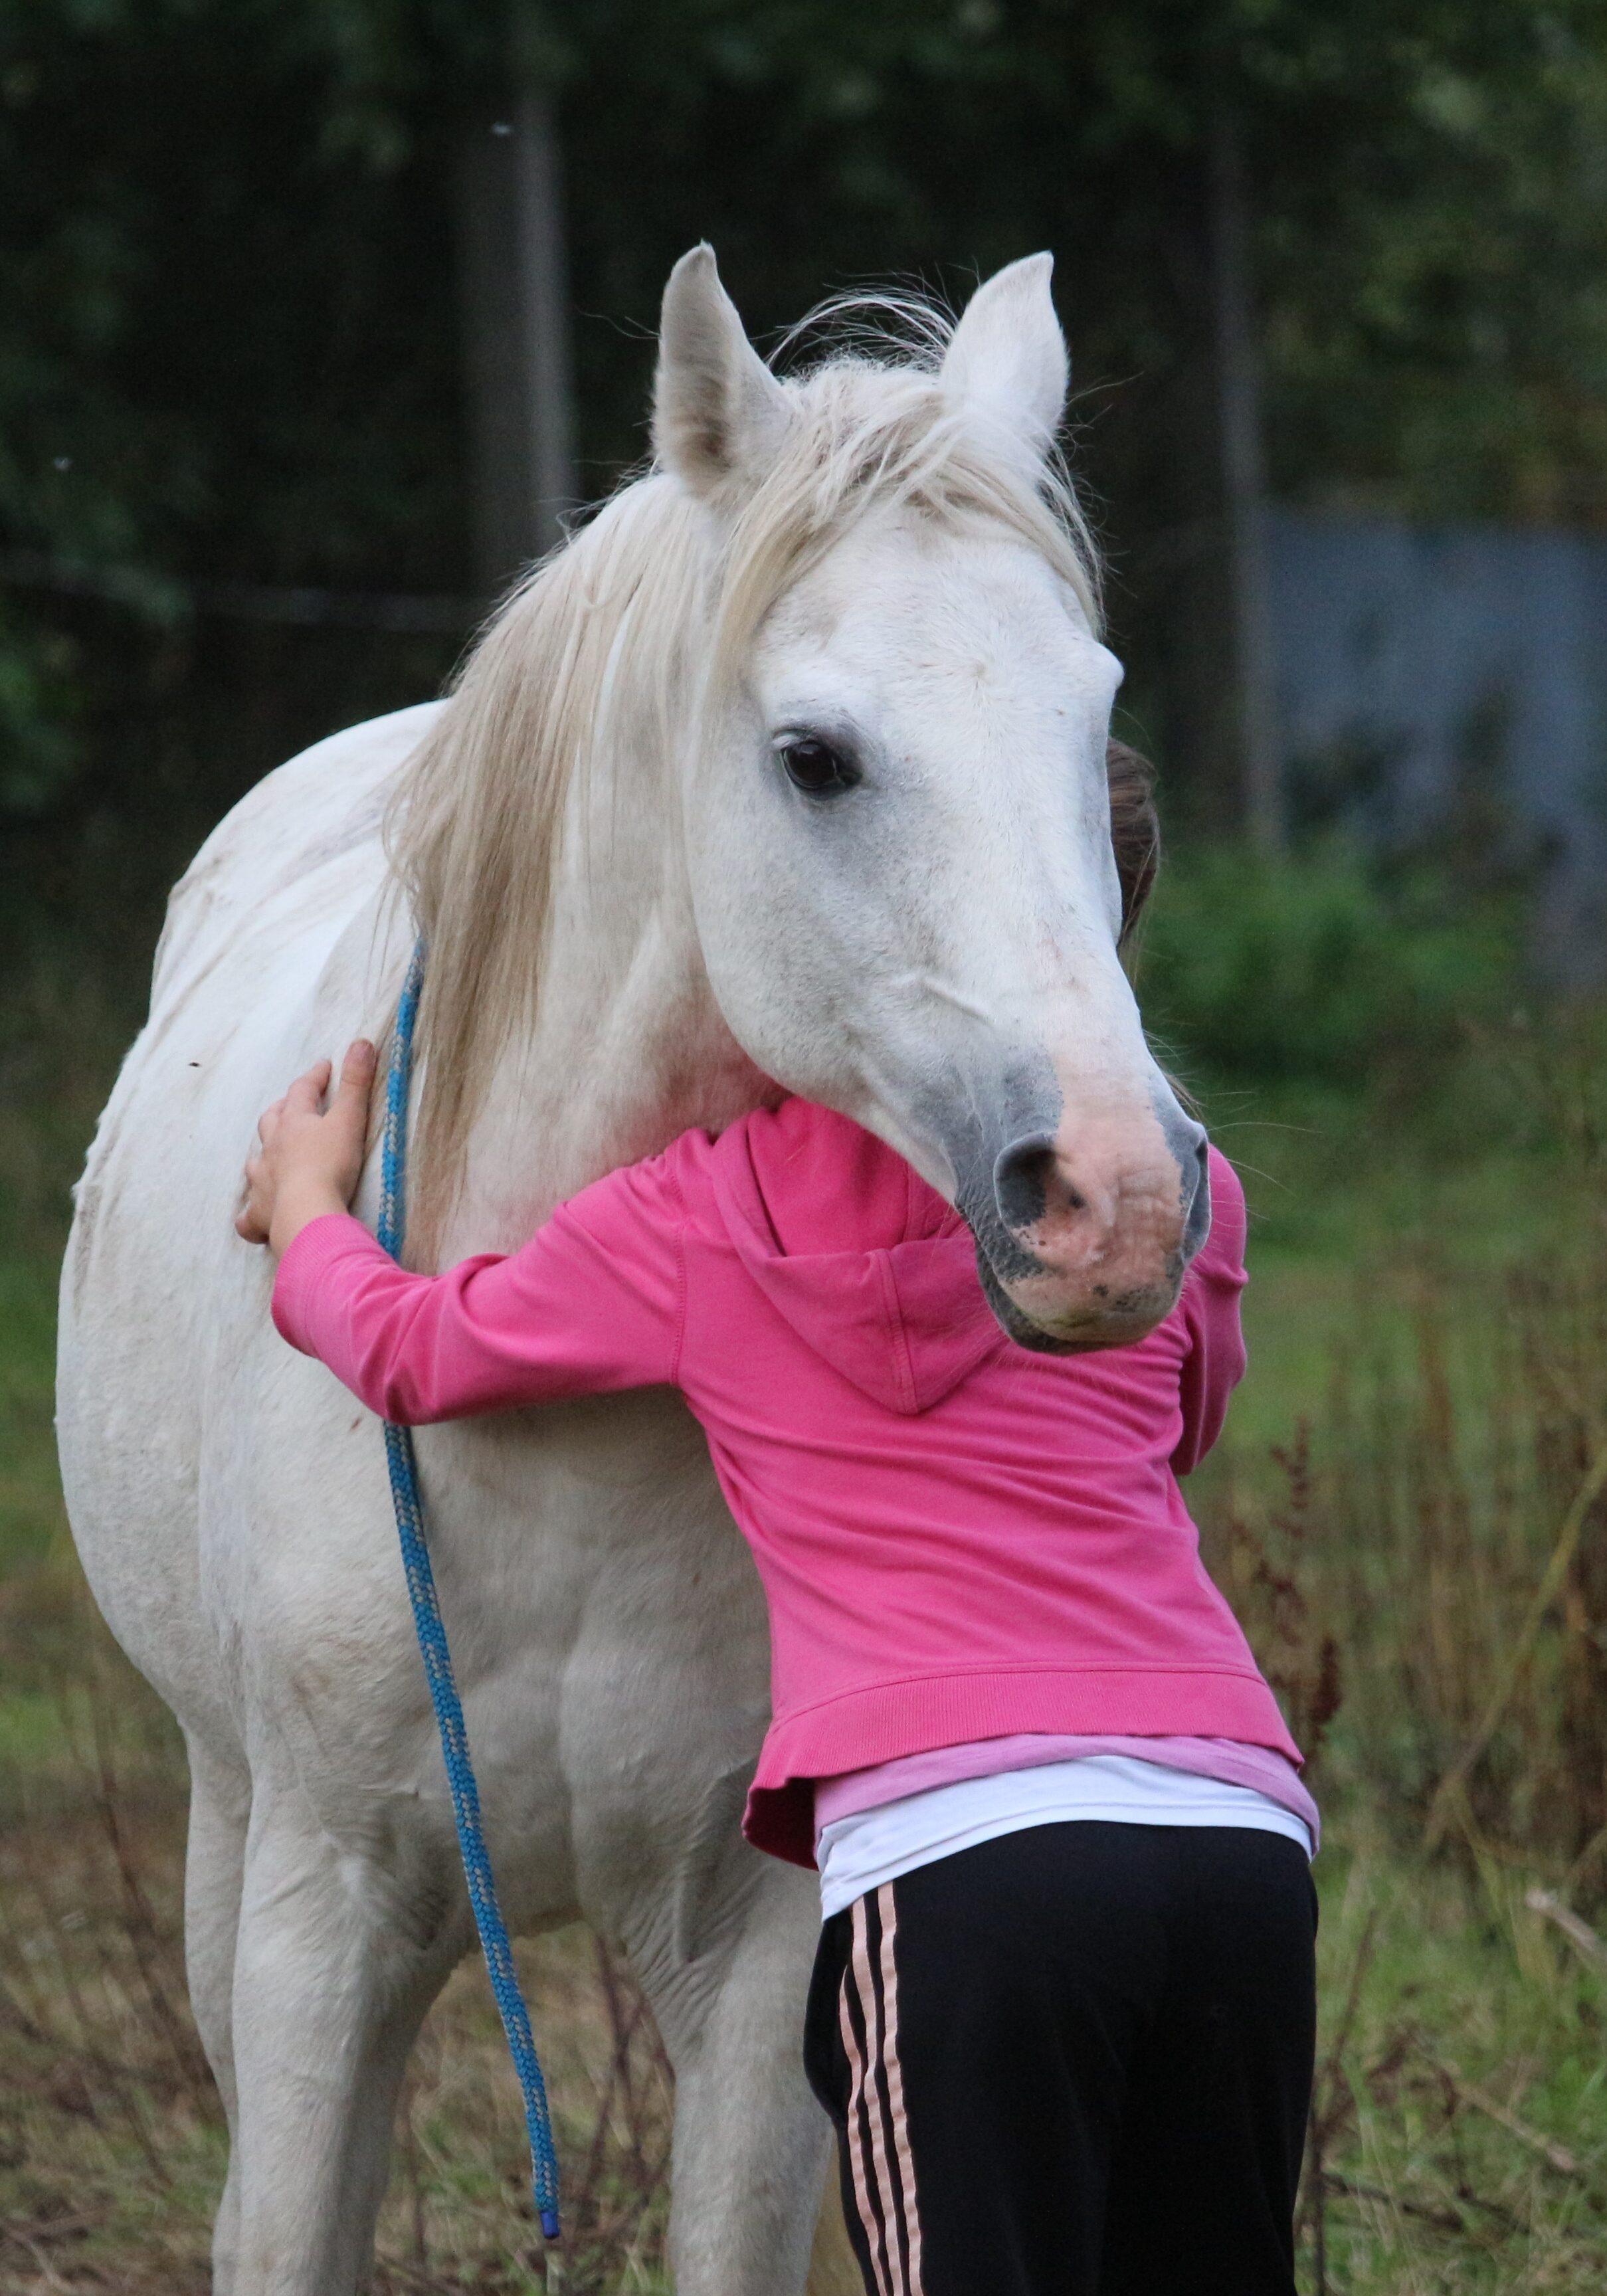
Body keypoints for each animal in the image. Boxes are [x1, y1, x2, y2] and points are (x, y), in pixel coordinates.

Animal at [56, 251, 1212, 2296]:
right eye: (813, 758)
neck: (548, 1417)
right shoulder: (318, 1926)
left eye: (1093, 729)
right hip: (224, 1832)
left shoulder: (761, 1964)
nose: (1121, 1198)